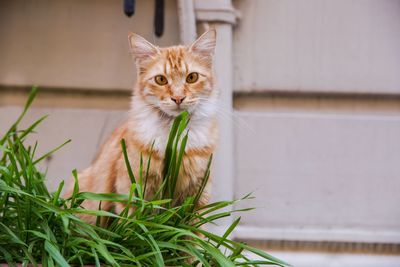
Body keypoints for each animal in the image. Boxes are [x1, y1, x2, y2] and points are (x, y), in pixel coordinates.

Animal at [65, 28, 219, 224]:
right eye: (161, 80)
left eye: (192, 78)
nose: (178, 98)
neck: (174, 135)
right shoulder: (133, 190)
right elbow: (134, 225)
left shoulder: (198, 194)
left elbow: (193, 232)